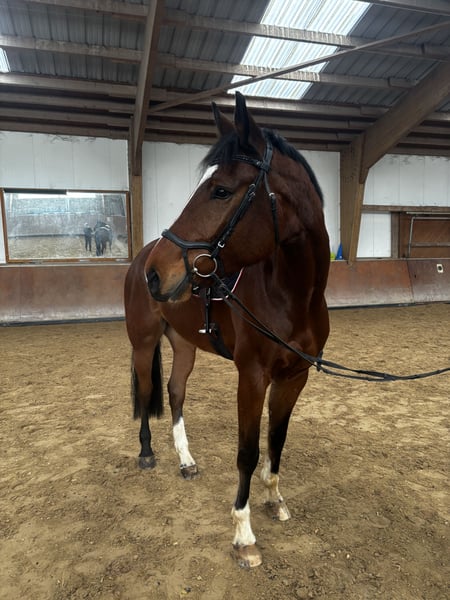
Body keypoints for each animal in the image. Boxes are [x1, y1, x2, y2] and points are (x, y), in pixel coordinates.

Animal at [124, 92, 330, 568]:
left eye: (220, 190)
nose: (156, 274)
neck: (293, 297)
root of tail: (137, 259)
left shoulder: (294, 377)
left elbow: (277, 440)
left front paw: (275, 500)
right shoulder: (251, 376)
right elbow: (247, 452)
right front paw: (244, 534)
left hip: (184, 346)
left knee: (175, 392)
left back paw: (185, 460)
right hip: (143, 343)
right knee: (146, 390)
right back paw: (147, 454)